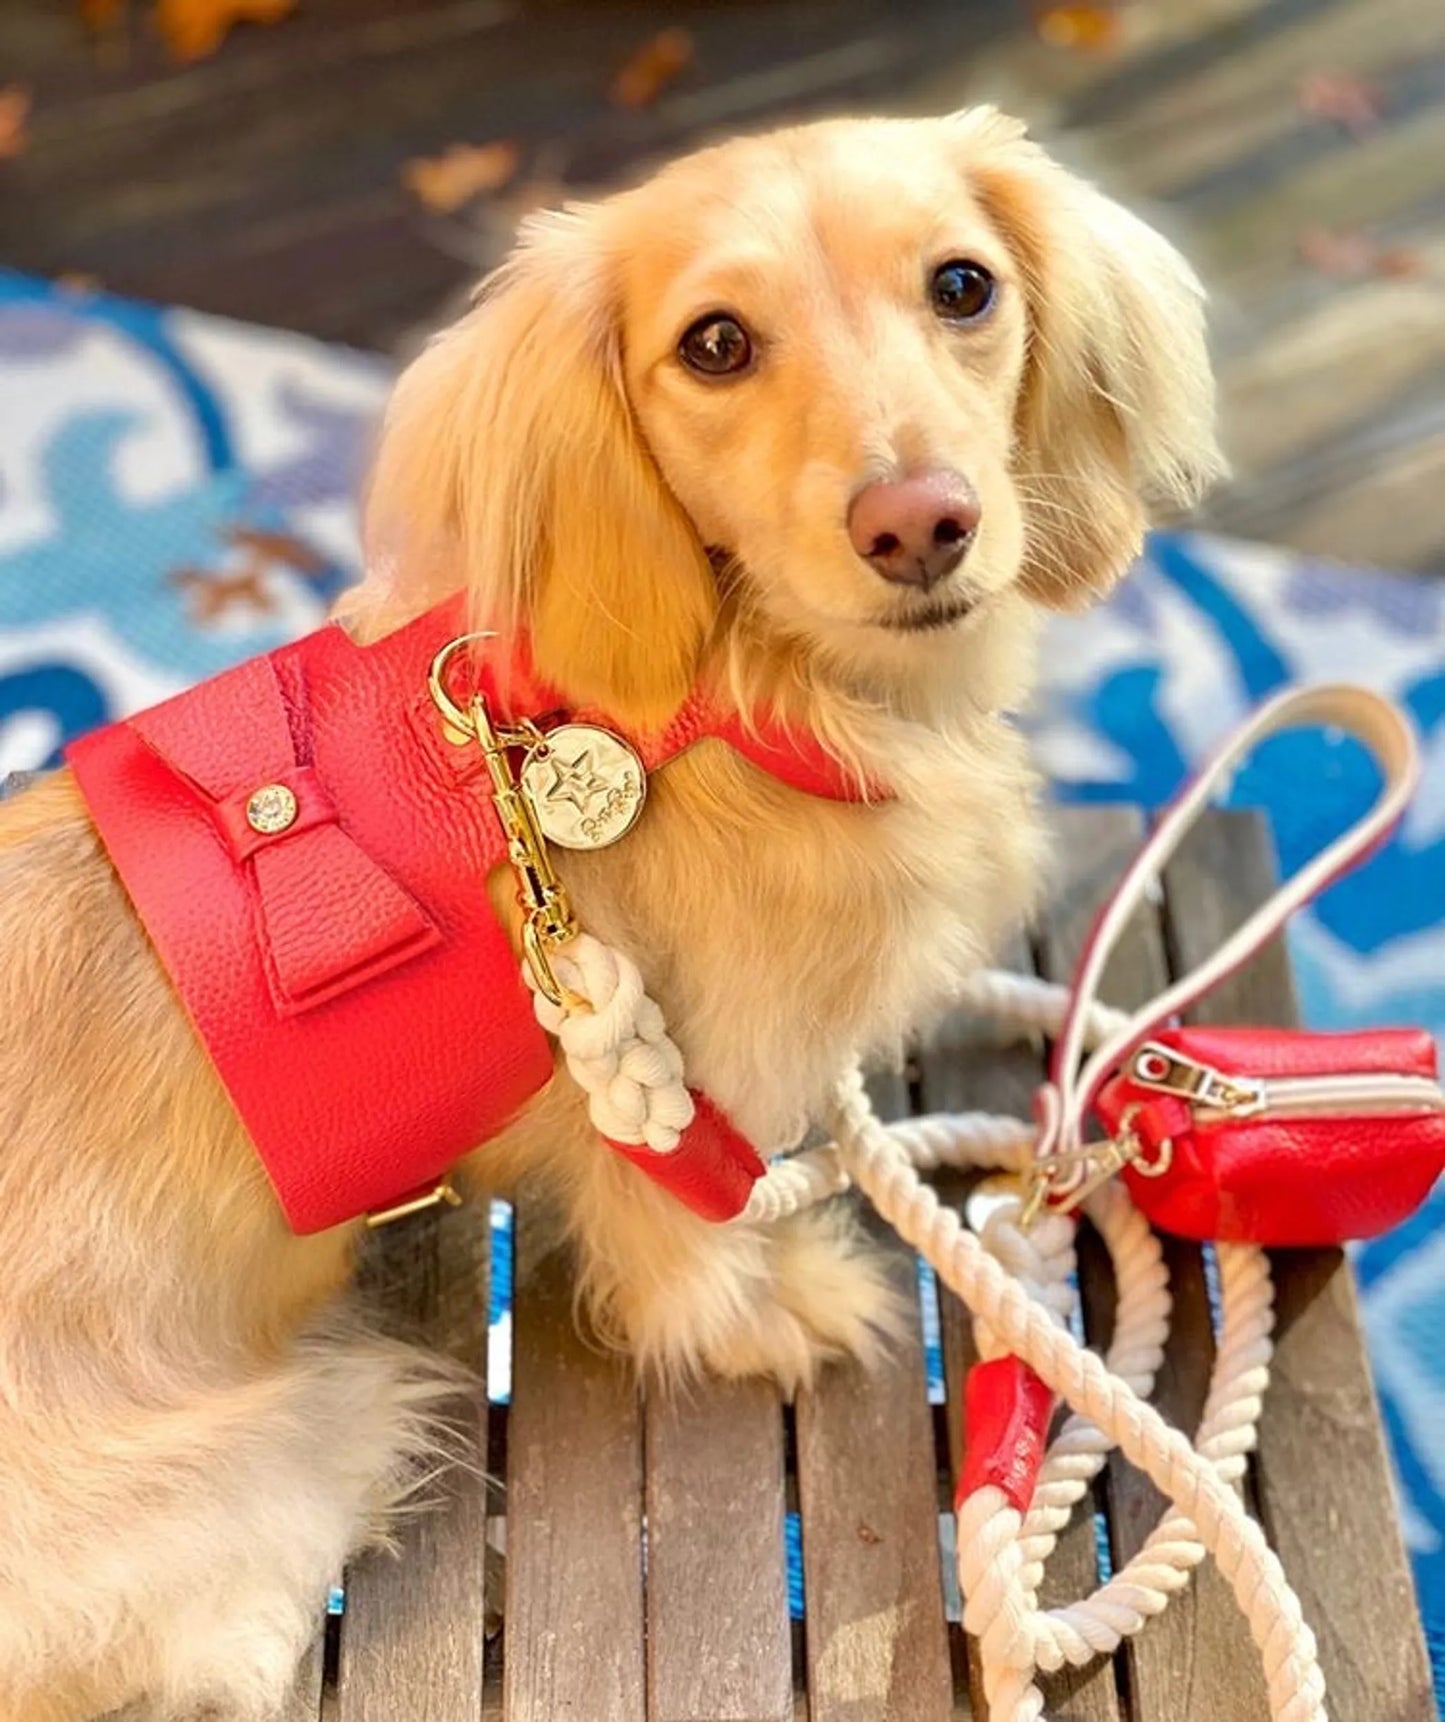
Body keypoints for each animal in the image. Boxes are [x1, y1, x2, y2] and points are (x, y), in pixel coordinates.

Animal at [0, 111, 1219, 1722]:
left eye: (963, 284)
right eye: (714, 343)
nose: (921, 524)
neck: (719, 703)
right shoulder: (687, 1093)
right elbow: (682, 1244)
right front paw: (779, 1302)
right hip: (305, 1431)